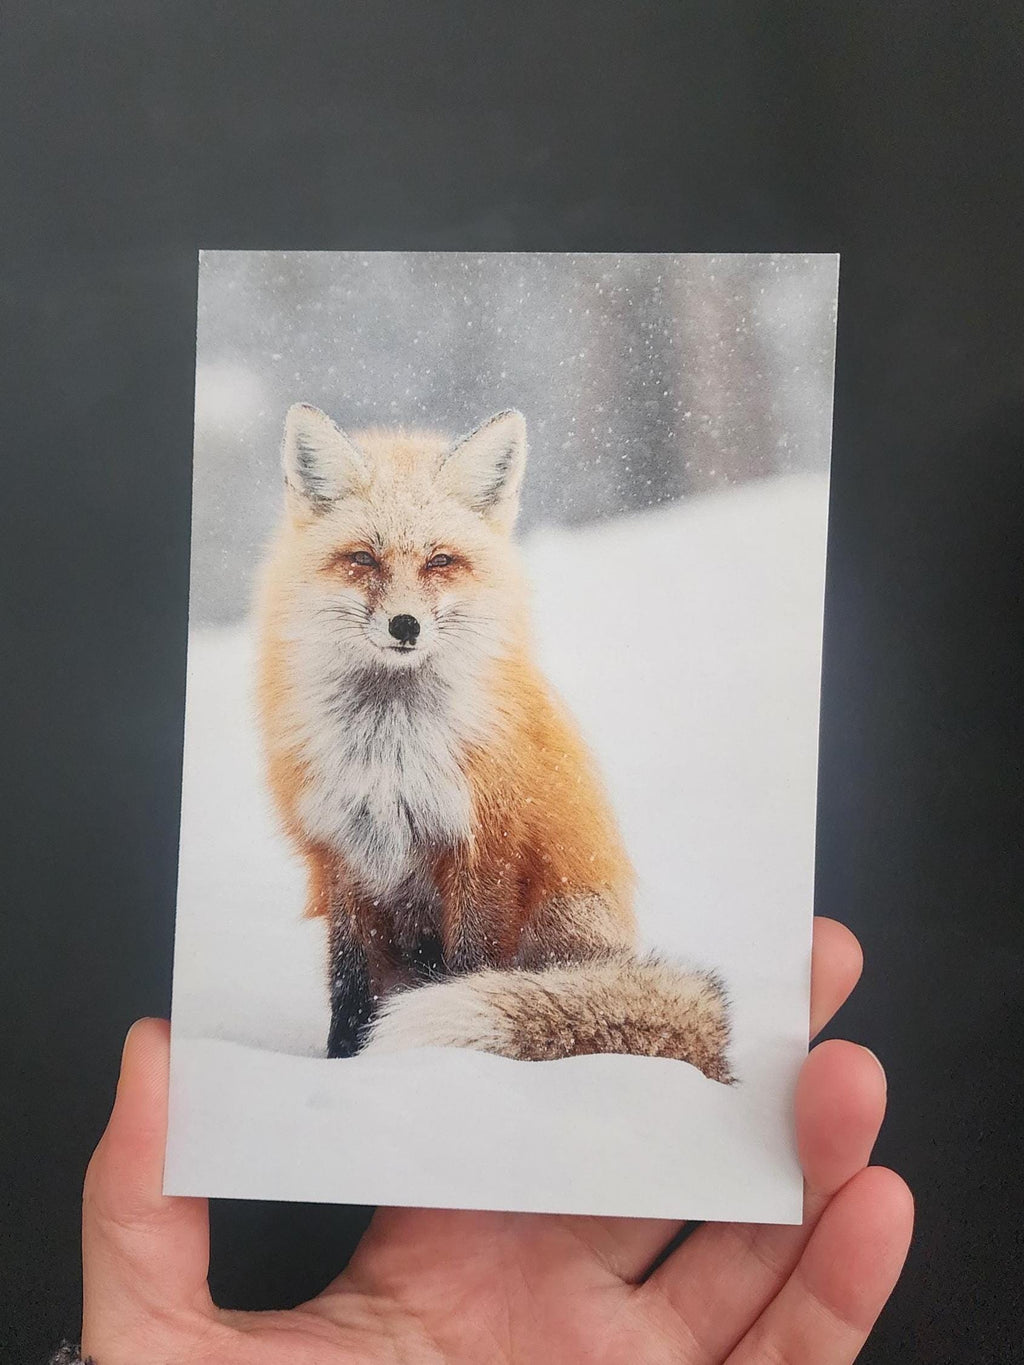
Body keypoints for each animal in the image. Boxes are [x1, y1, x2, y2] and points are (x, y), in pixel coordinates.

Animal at [256, 402, 732, 1082]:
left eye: (440, 561)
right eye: (364, 559)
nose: (405, 625)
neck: (391, 751)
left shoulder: (485, 850)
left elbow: (471, 967)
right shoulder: (343, 856)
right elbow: (349, 986)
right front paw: (343, 1064)